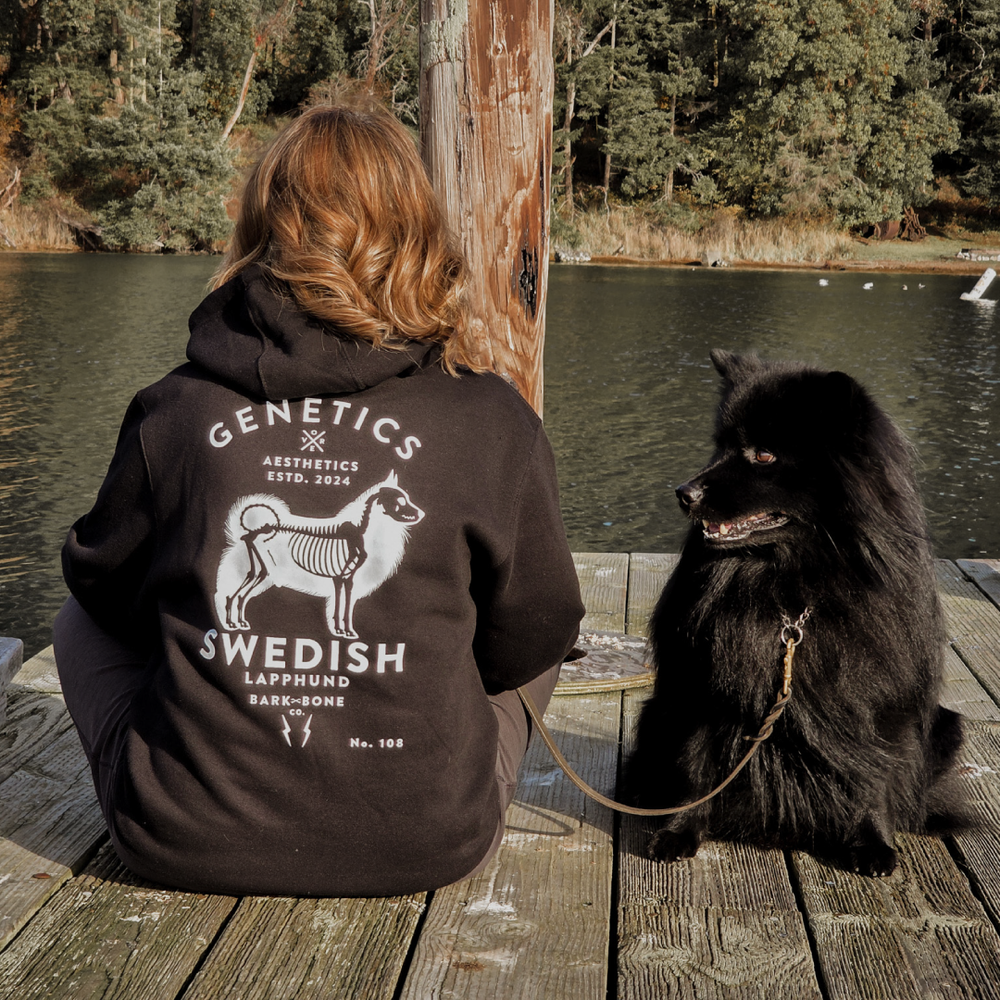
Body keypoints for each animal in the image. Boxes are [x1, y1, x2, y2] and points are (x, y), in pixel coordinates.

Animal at [215, 472, 424, 638]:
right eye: (400, 501)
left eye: (406, 498)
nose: (421, 514)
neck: (360, 533)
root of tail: (254, 531)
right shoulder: (339, 576)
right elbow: (339, 604)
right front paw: (340, 630)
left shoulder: (347, 578)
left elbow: (346, 604)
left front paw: (347, 631)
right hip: (262, 566)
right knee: (241, 586)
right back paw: (232, 622)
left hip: (262, 568)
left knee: (245, 588)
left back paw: (238, 622)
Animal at [622, 350, 965, 877]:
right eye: (720, 447)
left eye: (763, 455)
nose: (684, 492)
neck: (787, 588)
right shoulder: (701, 689)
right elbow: (695, 767)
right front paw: (678, 832)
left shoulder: (874, 699)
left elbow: (873, 773)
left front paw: (873, 842)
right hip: (658, 712)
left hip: (948, 726)